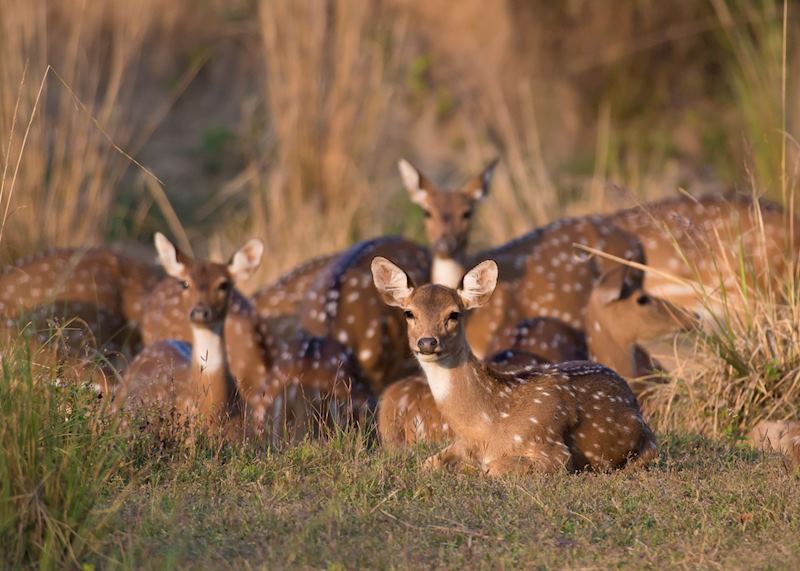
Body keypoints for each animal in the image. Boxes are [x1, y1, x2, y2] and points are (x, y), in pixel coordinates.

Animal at [371, 256, 658, 475]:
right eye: (409, 313)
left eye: (454, 314)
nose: (427, 342)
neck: (485, 427)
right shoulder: (457, 444)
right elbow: (427, 463)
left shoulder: (553, 450)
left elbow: (492, 469)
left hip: (649, 446)